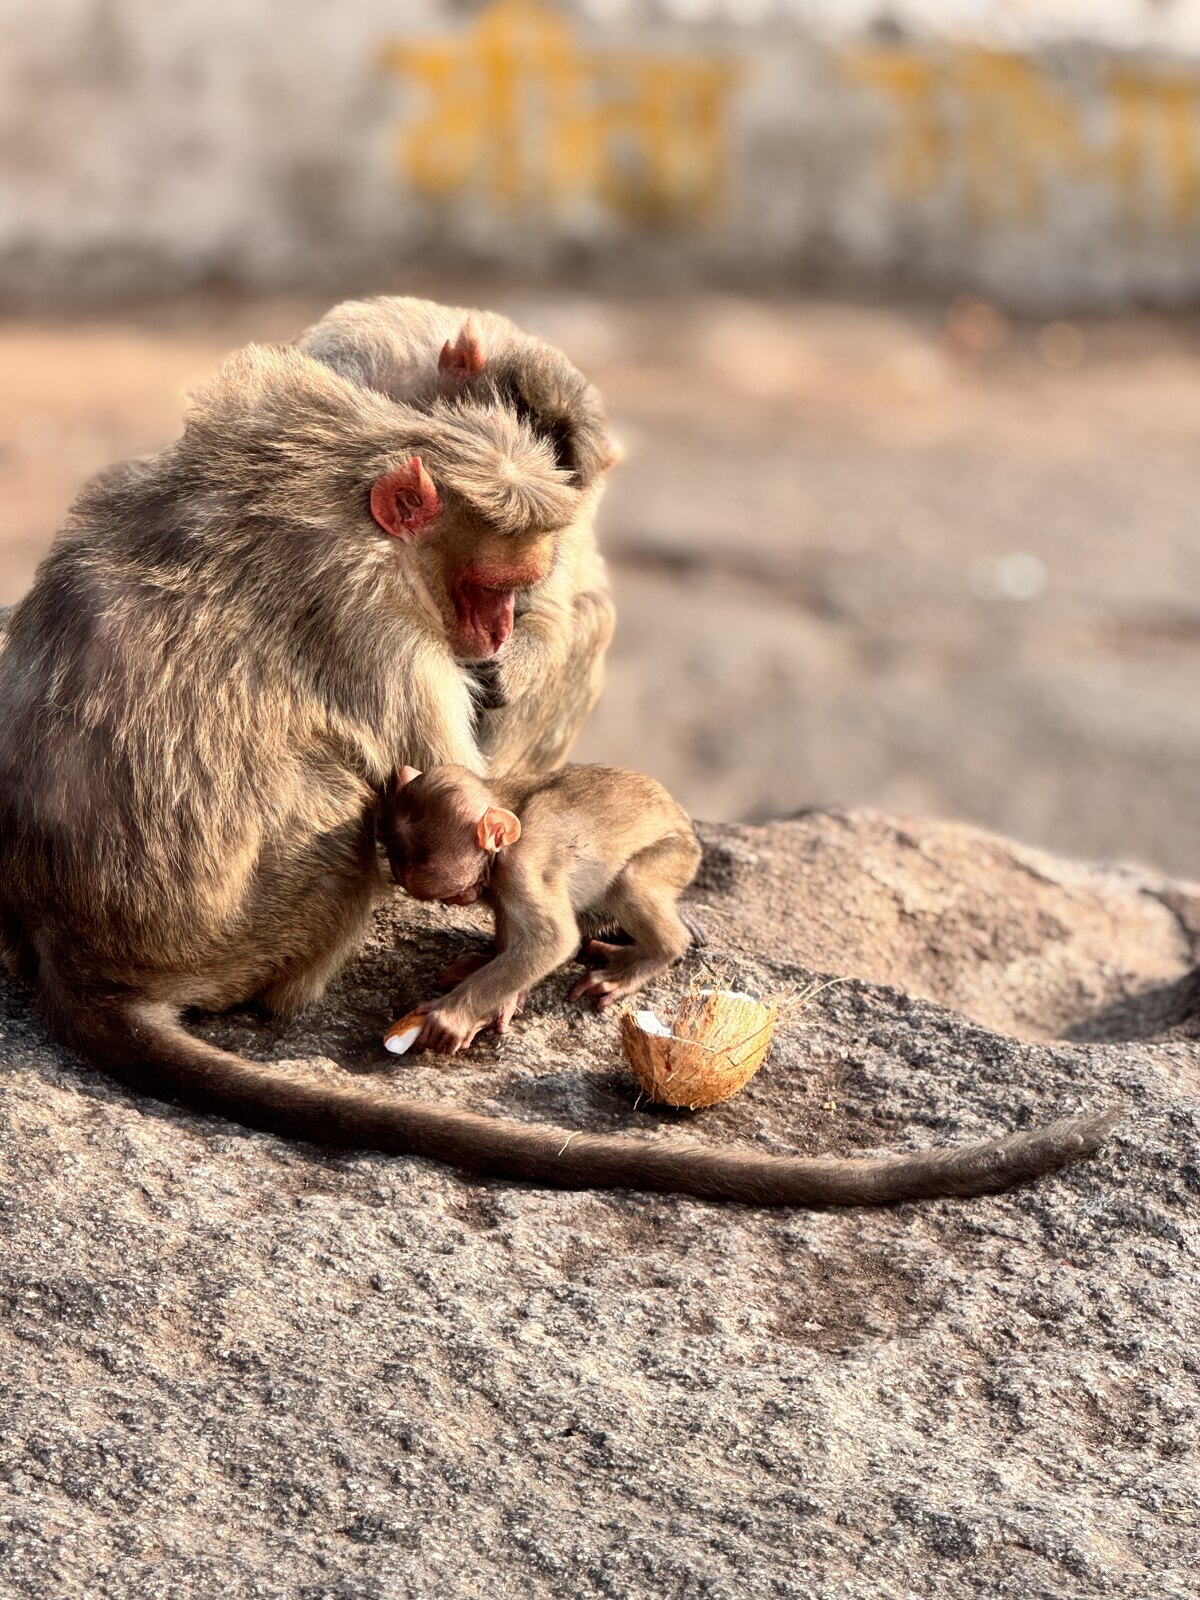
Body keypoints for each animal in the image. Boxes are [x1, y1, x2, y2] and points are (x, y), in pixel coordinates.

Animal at [296, 296, 617, 775]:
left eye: (554, 474)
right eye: (497, 427)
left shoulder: (568, 514)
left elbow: (551, 610)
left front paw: (510, 663)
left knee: (596, 613)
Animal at [379, 763, 705, 1054]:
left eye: (457, 892)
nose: (458, 900)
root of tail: (684, 823)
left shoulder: (520, 866)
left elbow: (554, 940)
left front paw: (452, 1016)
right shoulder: (498, 878)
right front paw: (497, 996)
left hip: (678, 855)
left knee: (629, 881)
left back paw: (649, 958)